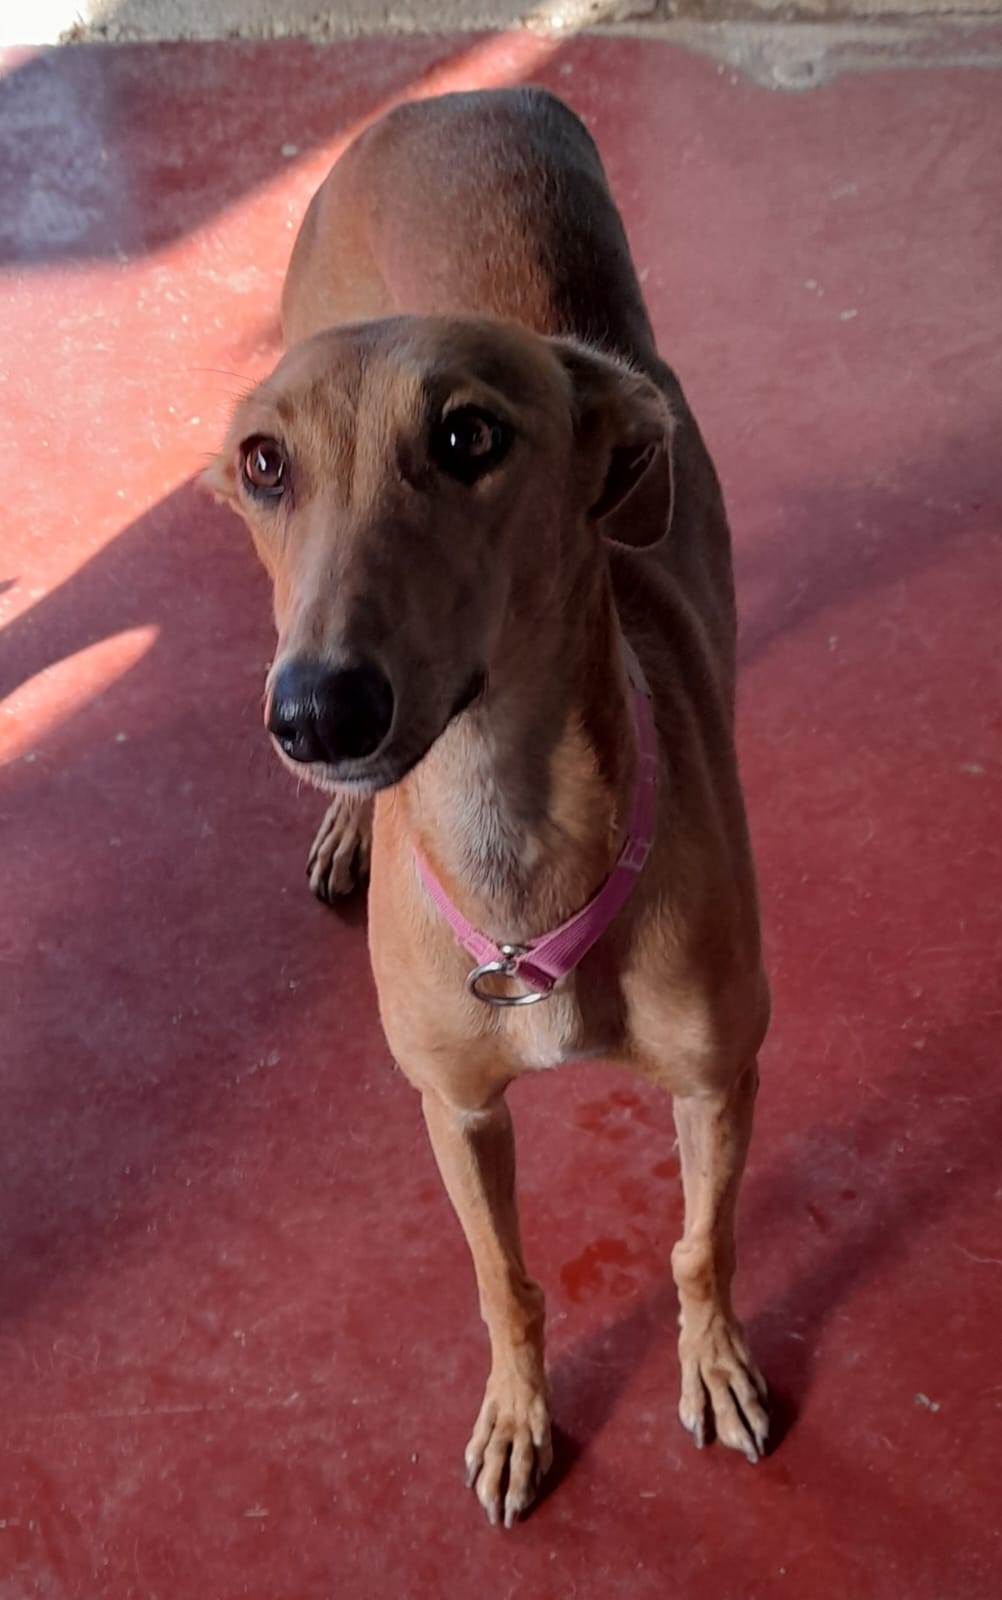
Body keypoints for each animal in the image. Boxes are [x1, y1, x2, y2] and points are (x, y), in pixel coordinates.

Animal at [205, 86, 771, 1529]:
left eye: (468, 436)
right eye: (264, 462)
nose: (317, 714)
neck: (515, 851)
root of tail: (464, 97)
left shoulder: (720, 1081)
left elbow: (700, 1241)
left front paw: (715, 1362)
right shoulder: (454, 1112)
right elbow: (501, 1280)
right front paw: (519, 1413)